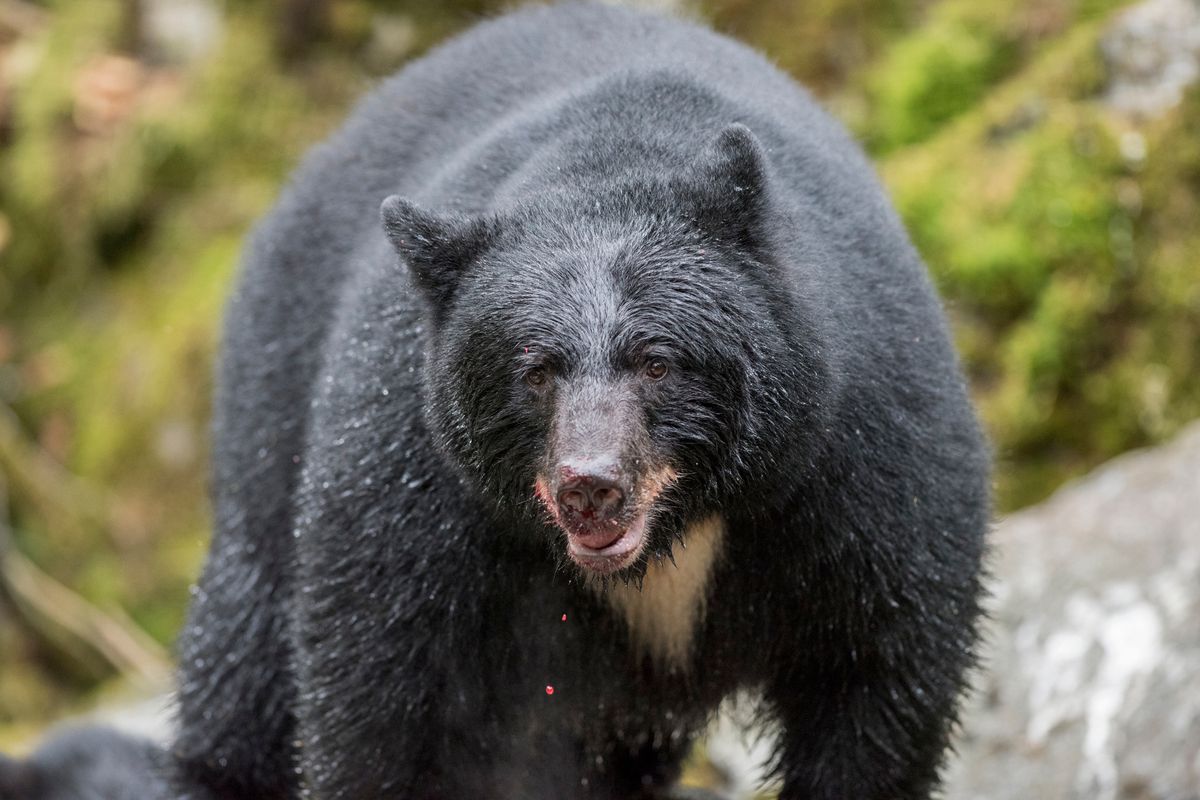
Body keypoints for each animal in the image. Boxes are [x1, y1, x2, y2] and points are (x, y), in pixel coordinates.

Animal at [2, 2, 990, 799]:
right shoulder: (416, 487)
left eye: (658, 361)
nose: (592, 485)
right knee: (245, 669)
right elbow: (385, 707)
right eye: (535, 369)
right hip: (268, 432)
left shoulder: (856, 461)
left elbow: (879, 677)